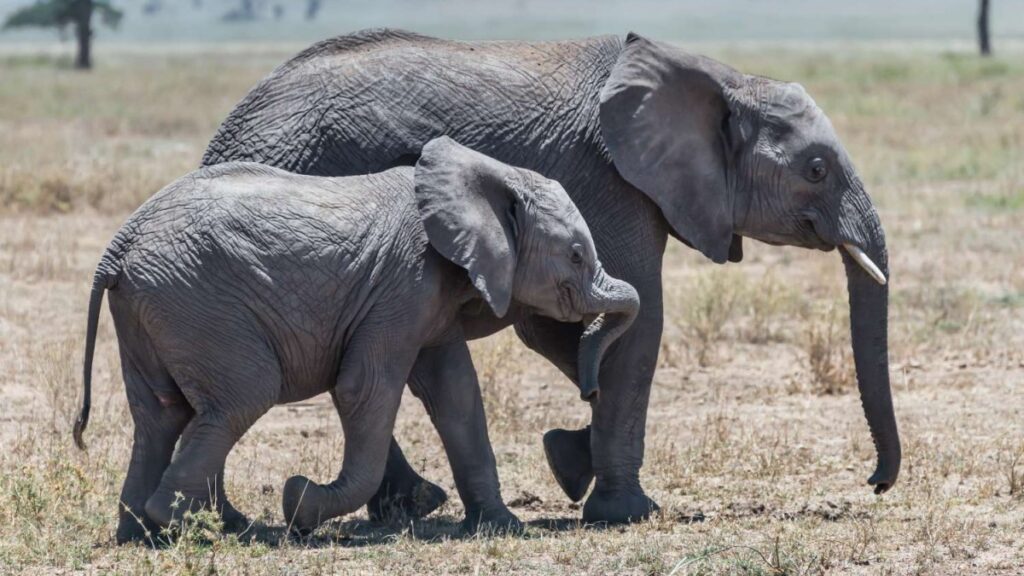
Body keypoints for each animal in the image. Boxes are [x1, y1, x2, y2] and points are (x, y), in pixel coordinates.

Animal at [72, 136, 634, 541]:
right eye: (577, 255)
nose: (590, 391)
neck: (489, 175)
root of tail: (119, 244)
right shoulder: (403, 284)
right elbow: (364, 390)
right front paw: (298, 503)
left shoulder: (428, 298)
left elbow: (456, 395)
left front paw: (501, 527)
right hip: (194, 301)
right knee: (243, 396)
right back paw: (201, 527)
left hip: (152, 305)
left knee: (161, 415)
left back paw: (143, 533)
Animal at [201, 26, 905, 522]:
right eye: (816, 170)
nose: (874, 484)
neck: (723, 79)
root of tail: (223, 135)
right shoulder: (612, 182)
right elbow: (642, 320)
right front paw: (623, 512)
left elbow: (560, 331)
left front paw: (571, 458)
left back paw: (411, 505)